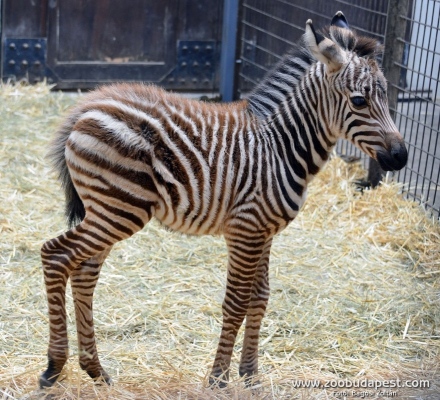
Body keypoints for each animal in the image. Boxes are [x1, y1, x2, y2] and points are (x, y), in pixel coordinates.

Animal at [39, 11, 408, 388]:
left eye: (385, 97)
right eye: (359, 101)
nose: (401, 157)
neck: (281, 145)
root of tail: (86, 107)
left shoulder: (264, 231)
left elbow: (260, 299)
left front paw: (251, 376)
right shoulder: (245, 229)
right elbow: (237, 302)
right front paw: (218, 377)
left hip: (108, 209)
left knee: (84, 271)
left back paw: (95, 371)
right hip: (119, 209)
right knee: (56, 255)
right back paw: (54, 366)